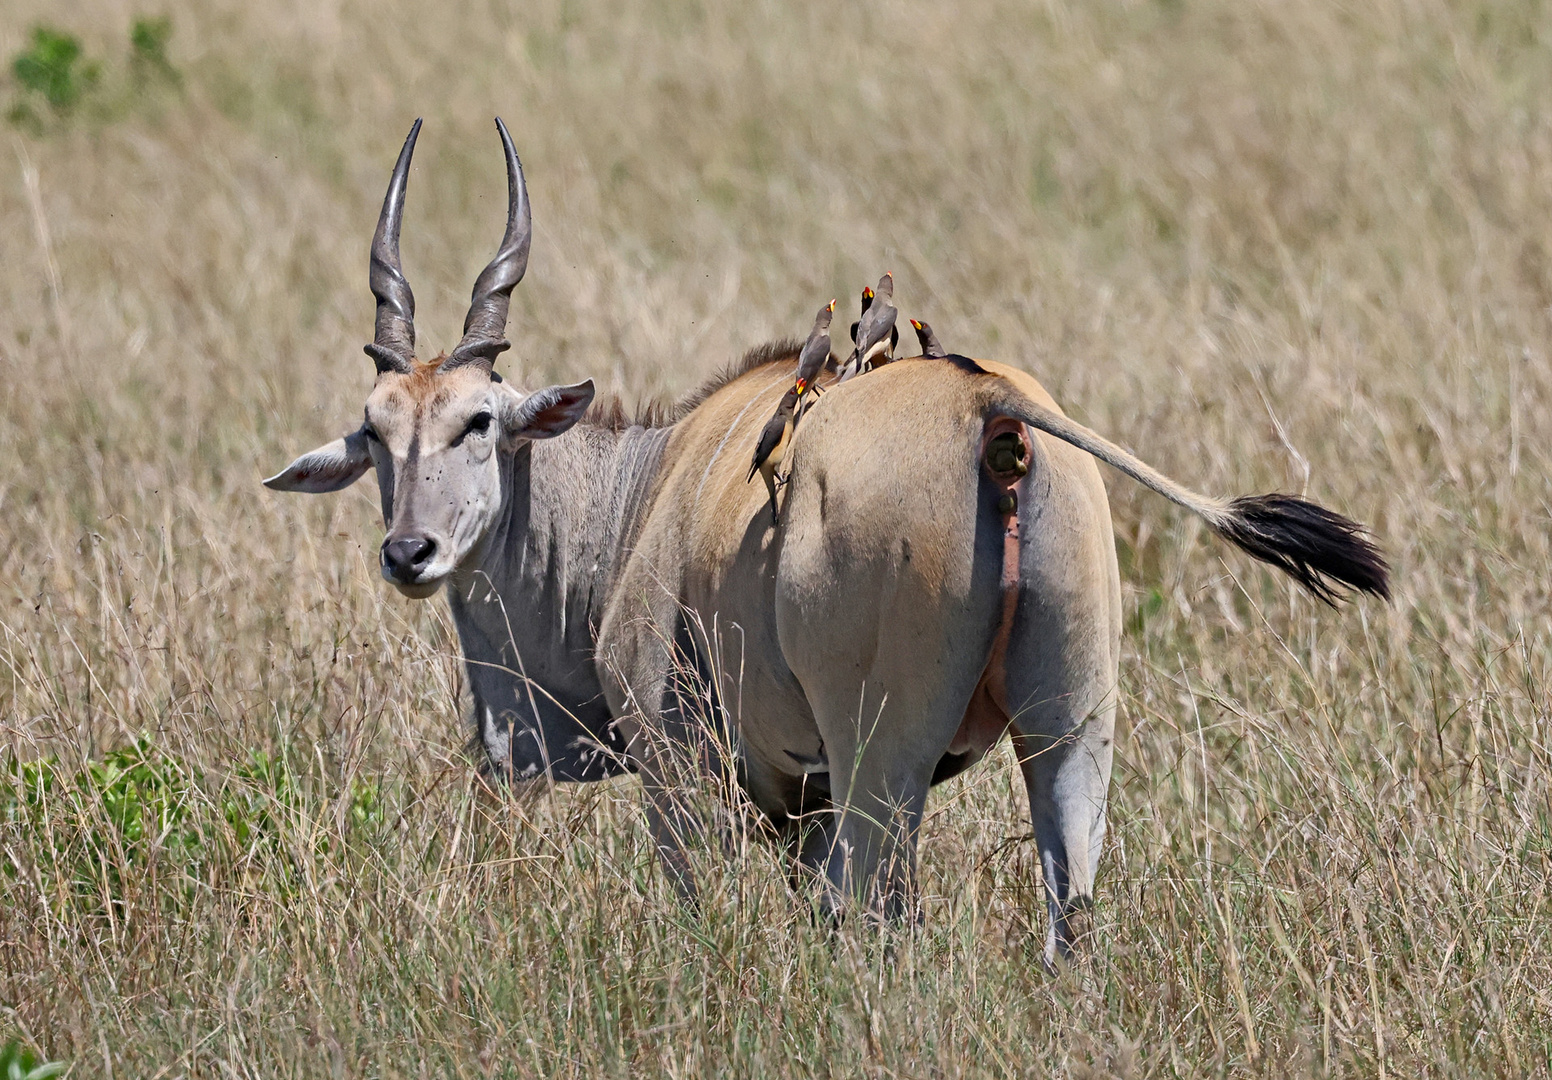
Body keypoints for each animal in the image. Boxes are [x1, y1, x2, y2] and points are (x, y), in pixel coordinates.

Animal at [260, 117, 1390, 962]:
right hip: (1072, 733)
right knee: (1067, 915)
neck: (645, 489)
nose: (409, 554)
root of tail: (991, 406)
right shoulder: (801, 806)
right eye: (374, 432)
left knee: (879, 922)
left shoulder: (685, 774)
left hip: (881, 755)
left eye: (479, 421)